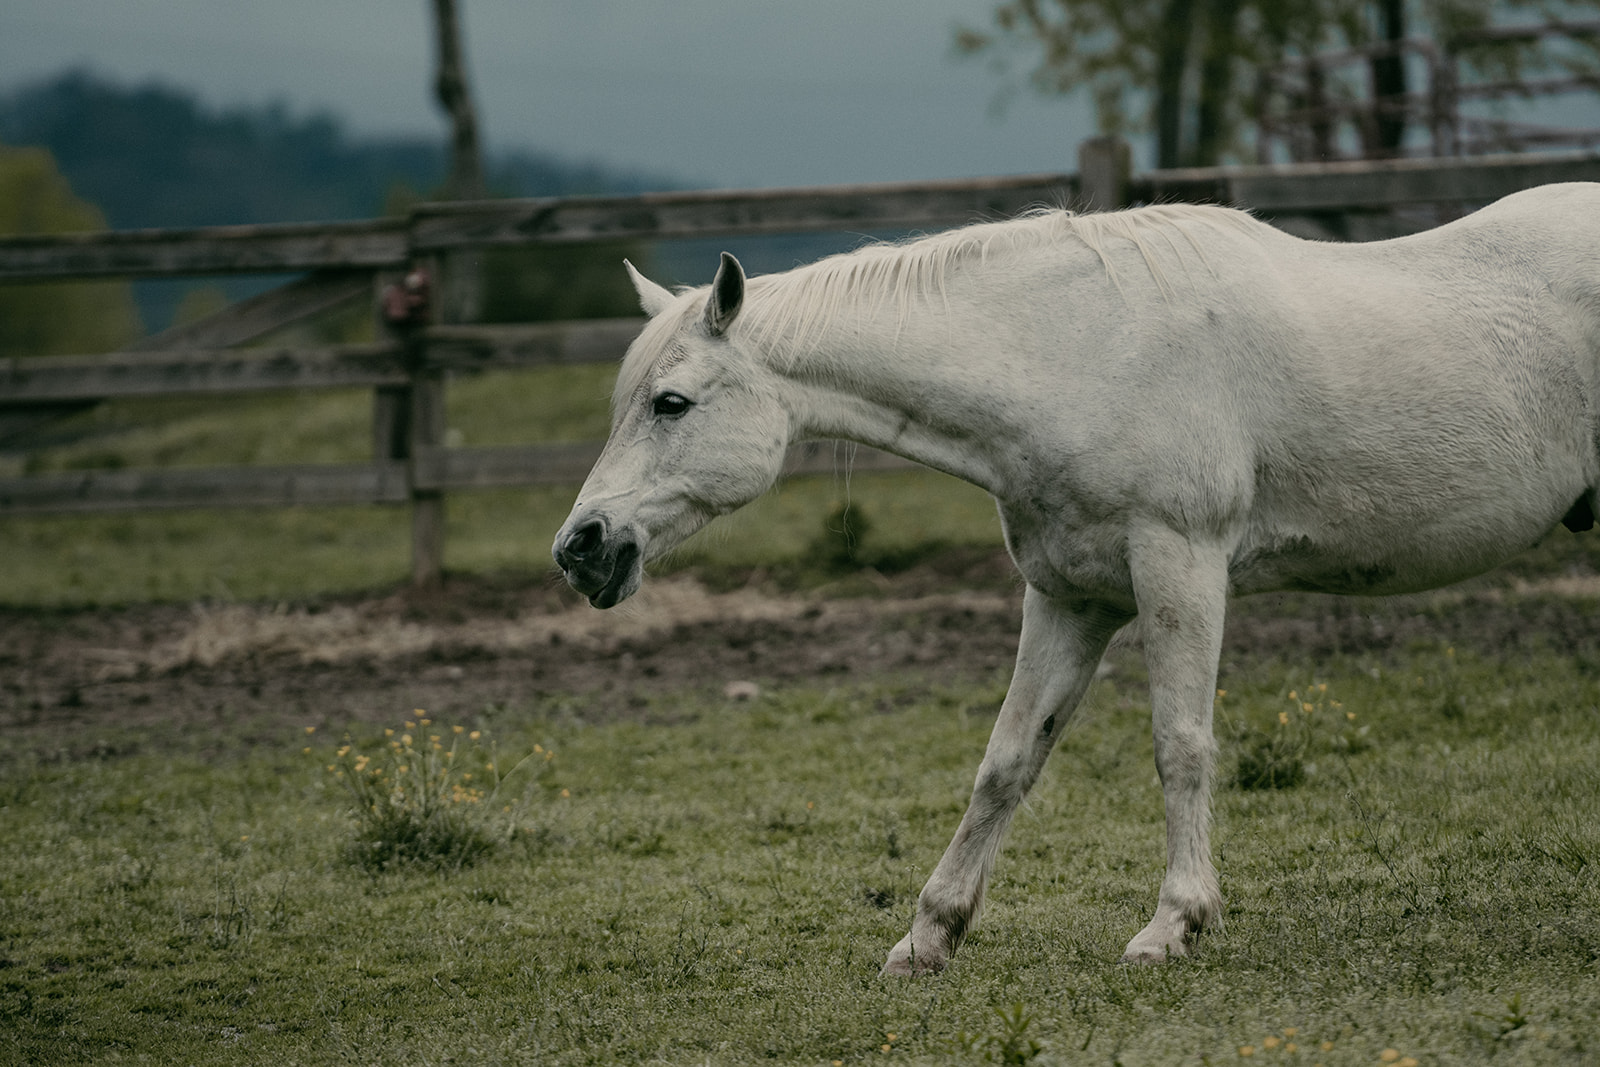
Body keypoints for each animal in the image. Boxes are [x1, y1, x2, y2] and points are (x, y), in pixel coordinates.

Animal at [556, 185, 1600, 979]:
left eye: (672, 402)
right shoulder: (1071, 596)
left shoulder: (1180, 565)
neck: (1076, 353)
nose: (581, 547)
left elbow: (1181, 746)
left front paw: (1173, 924)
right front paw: (926, 938)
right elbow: (1007, 760)